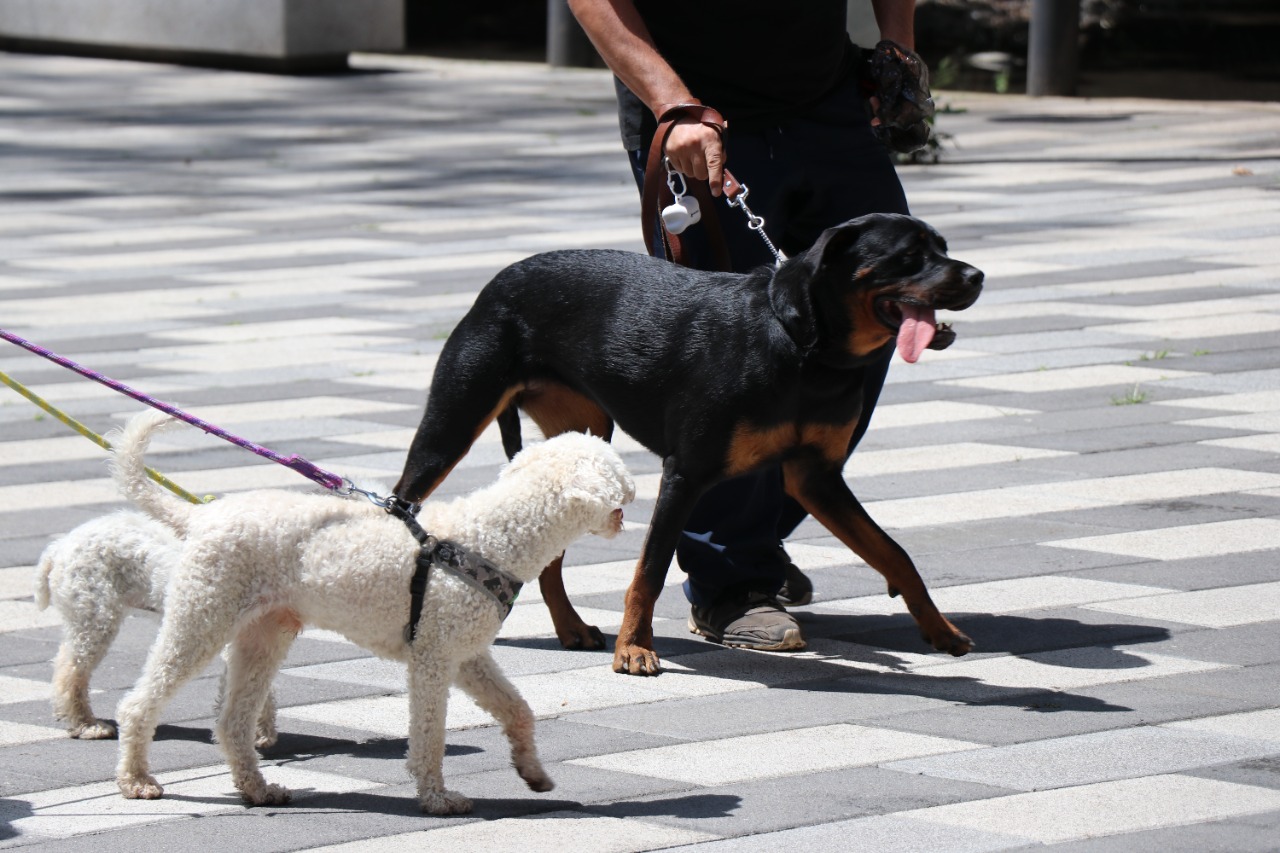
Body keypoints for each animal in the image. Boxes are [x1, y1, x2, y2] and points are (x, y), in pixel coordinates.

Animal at [35, 507, 275, 742]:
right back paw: (86, 724)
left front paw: (259, 730)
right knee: (70, 673)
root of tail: (60, 546)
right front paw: (257, 732)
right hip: (95, 616)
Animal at [110, 409, 634, 814]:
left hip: (262, 635)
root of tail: (201, 514)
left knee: (232, 722)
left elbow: (518, 709)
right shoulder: (432, 659)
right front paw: (437, 798)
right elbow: (429, 735)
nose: (632, 496)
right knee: (139, 703)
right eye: (616, 469)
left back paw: (258, 790)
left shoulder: (465, 654)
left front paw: (532, 771)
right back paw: (137, 780)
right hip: (202, 615)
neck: (494, 536)